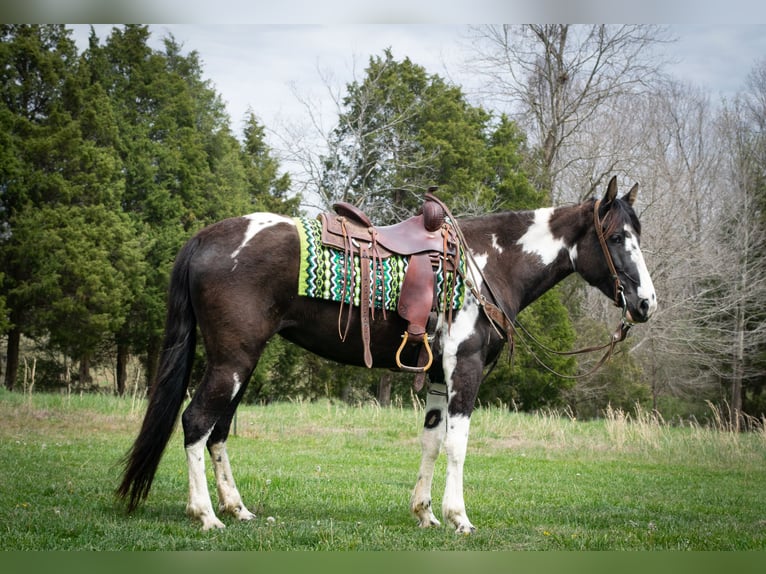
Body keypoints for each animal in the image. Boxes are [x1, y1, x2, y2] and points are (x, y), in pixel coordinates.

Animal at [118, 177, 660, 536]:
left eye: (638, 236)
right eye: (617, 238)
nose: (646, 304)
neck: (487, 263)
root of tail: (204, 238)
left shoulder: (438, 378)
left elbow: (432, 442)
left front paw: (425, 512)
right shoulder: (465, 370)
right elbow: (458, 445)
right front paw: (459, 517)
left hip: (239, 365)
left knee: (218, 431)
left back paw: (237, 509)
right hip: (232, 362)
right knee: (196, 423)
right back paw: (206, 515)